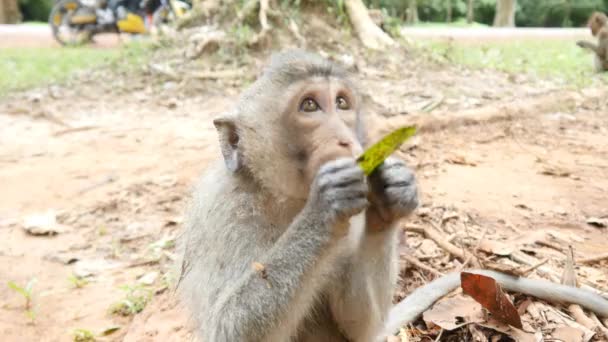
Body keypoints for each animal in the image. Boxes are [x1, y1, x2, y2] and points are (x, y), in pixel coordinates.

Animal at [178, 48, 608, 342]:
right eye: (310, 106)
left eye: (341, 103)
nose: (345, 139)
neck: (286, 200)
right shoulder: (225, 211)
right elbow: (228, 329)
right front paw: (324, 209)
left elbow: (358, 325)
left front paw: (390, 200)